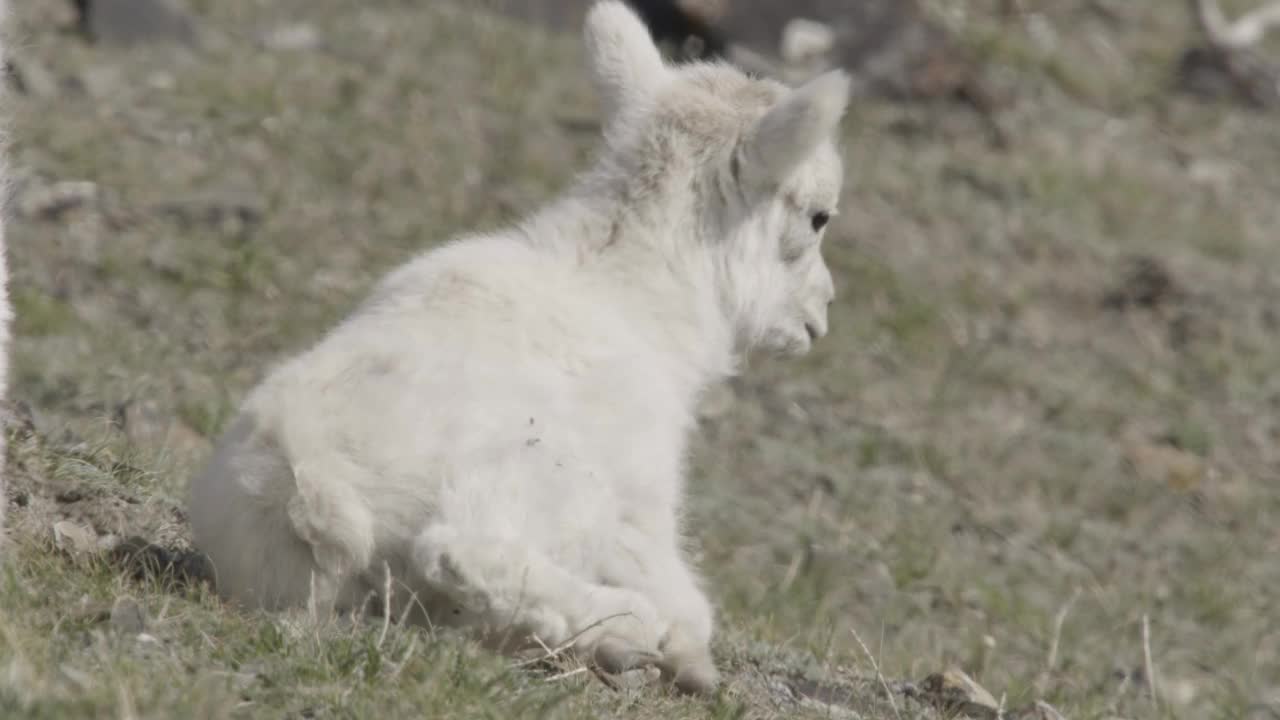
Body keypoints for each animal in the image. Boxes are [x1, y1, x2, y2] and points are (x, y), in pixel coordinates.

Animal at [186, 1, 849, 696]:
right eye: (818, 217)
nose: (822, 312)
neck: (628, 286)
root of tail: (312, 490)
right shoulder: (642, 500)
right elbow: (695, 606)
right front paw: (685, 653)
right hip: (545, 483)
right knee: (456, 553)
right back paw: (626, 631)